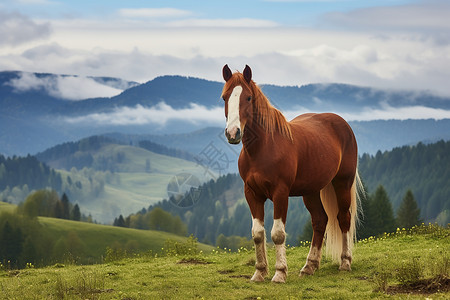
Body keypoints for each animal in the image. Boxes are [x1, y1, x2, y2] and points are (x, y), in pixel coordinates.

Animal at [220, 64, 364, 282]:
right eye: (224, 97)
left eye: (248, 98)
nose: (233, 133)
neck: (264, 148)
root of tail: (342, 124)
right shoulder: (252, 193)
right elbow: (257, 233)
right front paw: (259, 272)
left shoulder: (281, 193)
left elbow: (278, 234)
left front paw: (279, 273)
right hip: (311, 191)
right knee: (320, 220)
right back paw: (309, 266)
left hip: (342, 183)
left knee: (343, 218)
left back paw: (345, 262)